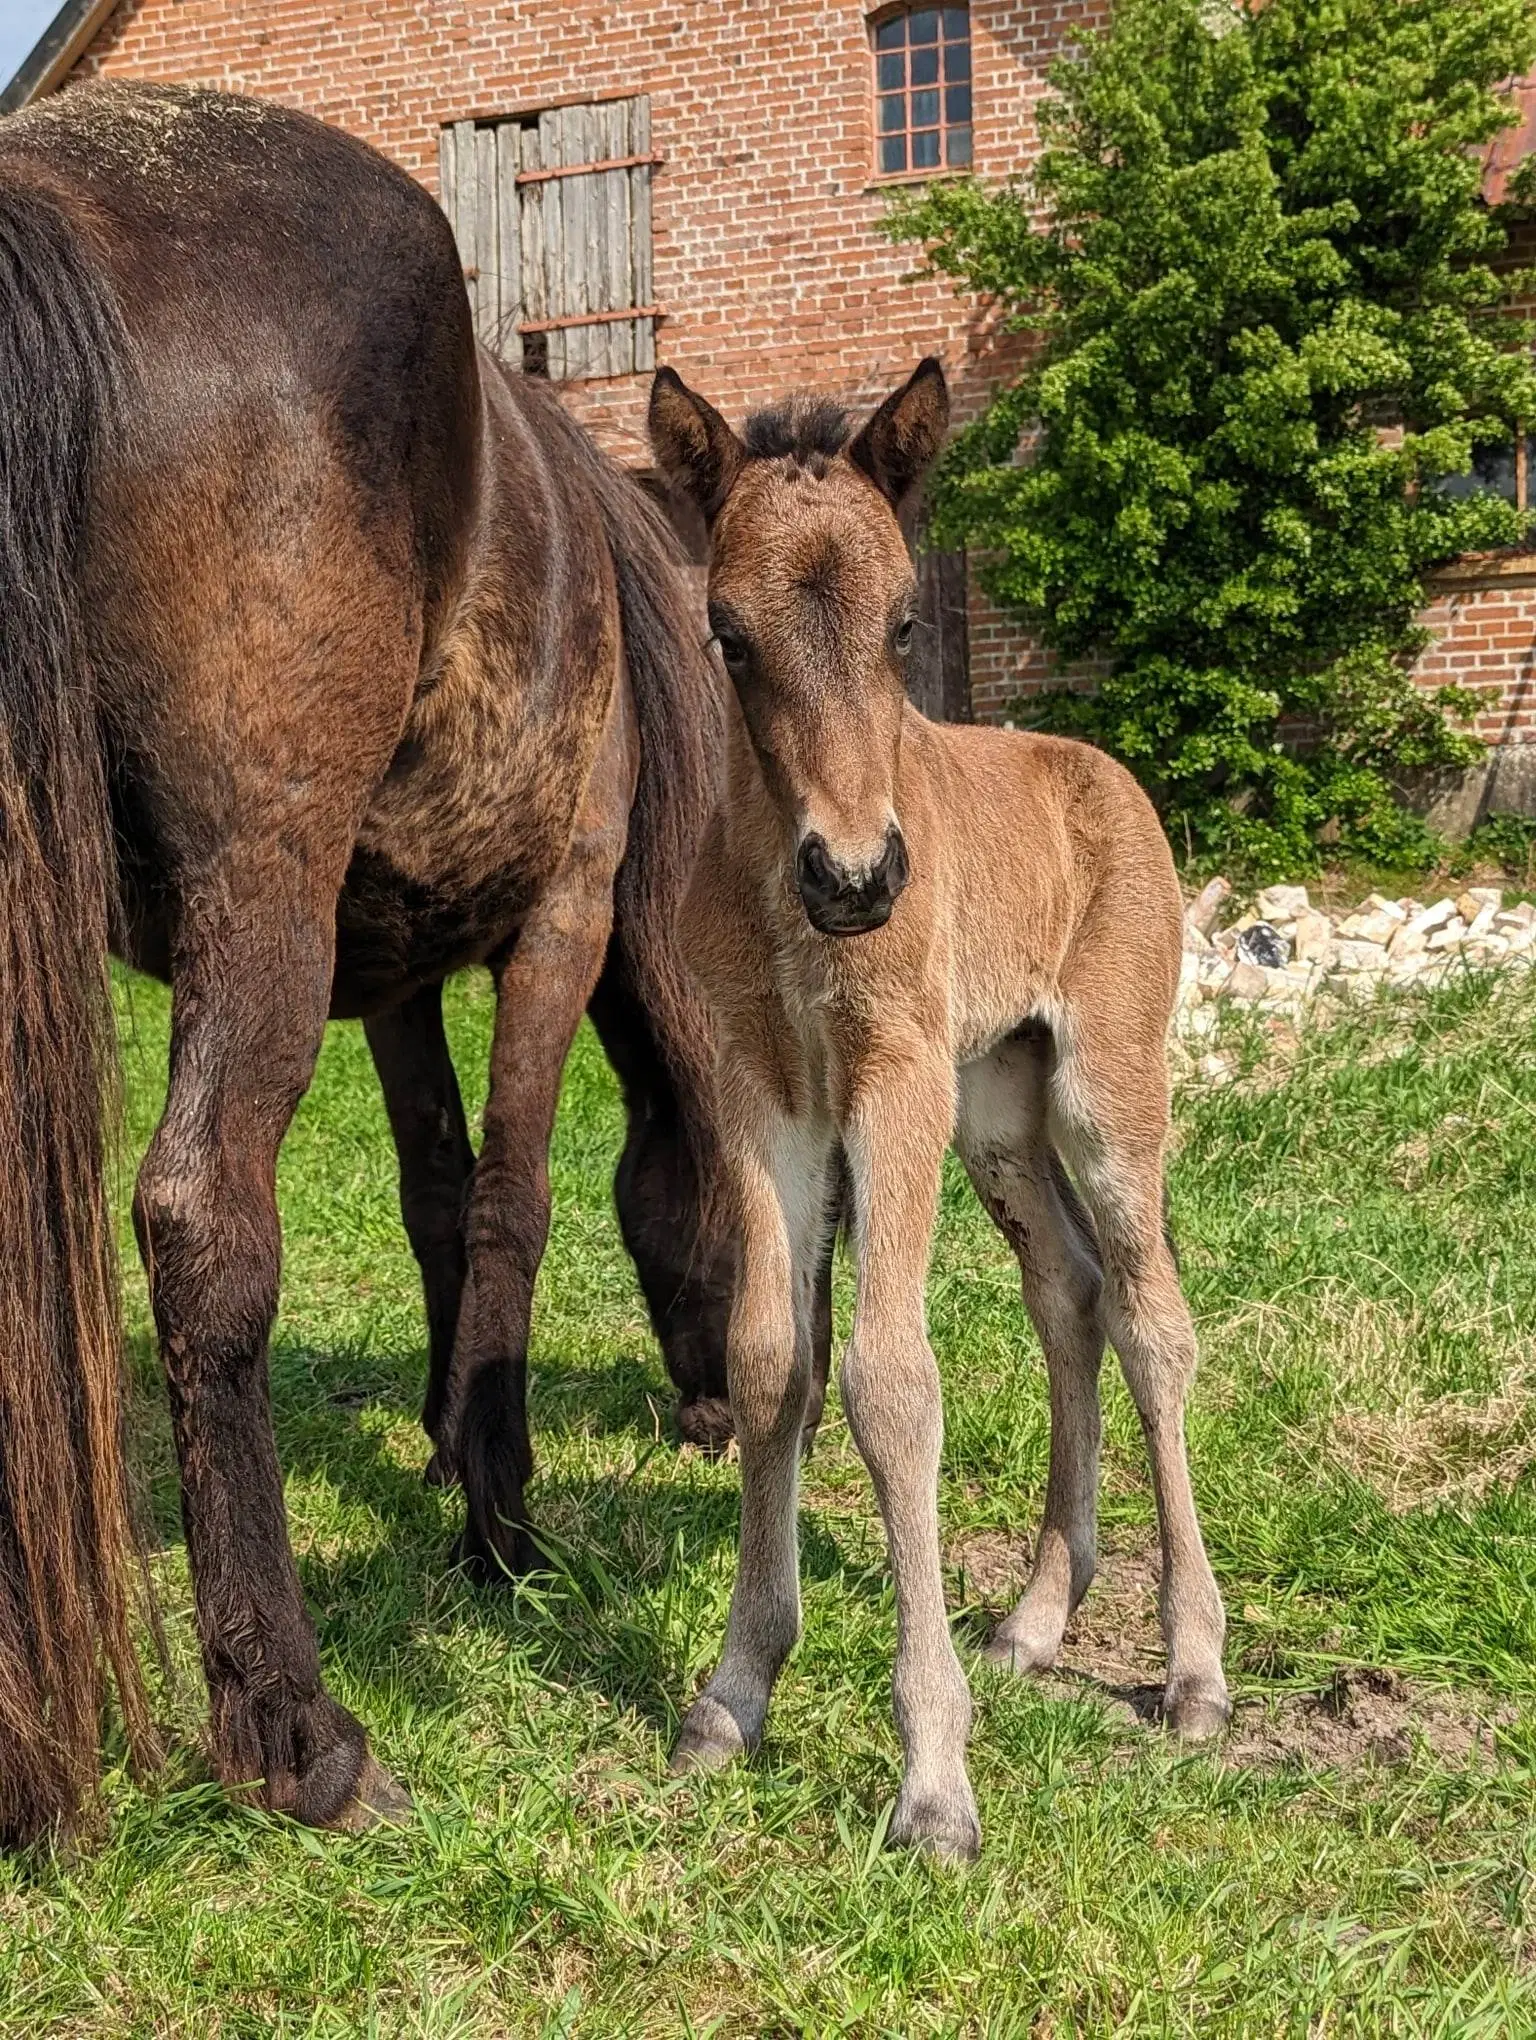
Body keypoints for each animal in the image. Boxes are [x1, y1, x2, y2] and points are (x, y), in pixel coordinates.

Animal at [652, 359, 1232, 1860]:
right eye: (728, 637)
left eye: (905, 622)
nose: (857, 878)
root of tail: (1106, 772)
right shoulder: (763, 1099)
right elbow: (768, 1361)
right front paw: (735, 1691)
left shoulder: (892, 1080)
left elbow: (889, 1381)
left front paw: (933, 1777)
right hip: (1000, 1116)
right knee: (1070, 1297)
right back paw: (1036, 1618)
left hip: (1104, 1093)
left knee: (1152, 1317)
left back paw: (1195, 1669)